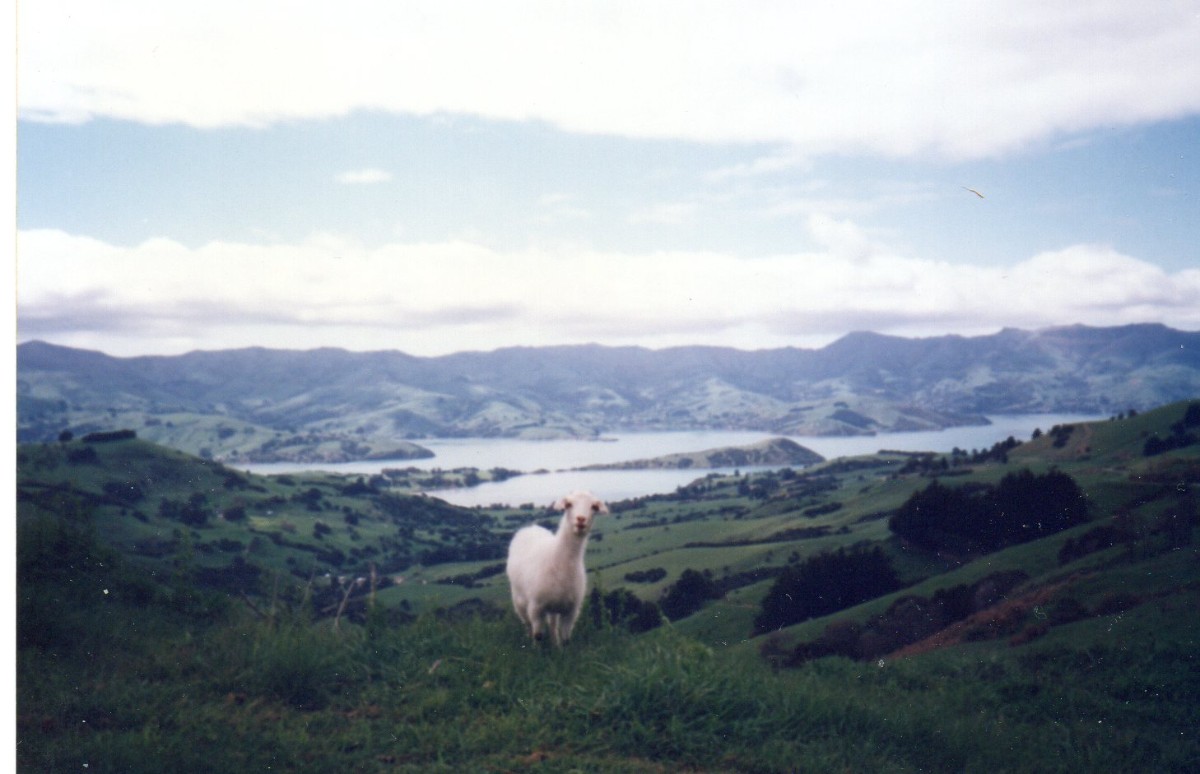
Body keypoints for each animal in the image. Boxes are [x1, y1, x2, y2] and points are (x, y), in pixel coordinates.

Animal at [506, 490, 608, 647]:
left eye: (594, 507)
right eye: (568, 504)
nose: (581, 519)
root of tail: (530, 527)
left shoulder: (571, 611)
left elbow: (566, 639)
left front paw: (561, 650)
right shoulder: (535, 607)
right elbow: (538, 635)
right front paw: (535, 651)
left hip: (554, 606)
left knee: (552, 626)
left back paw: (555, 644)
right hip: (519, 600)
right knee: (528, 625)